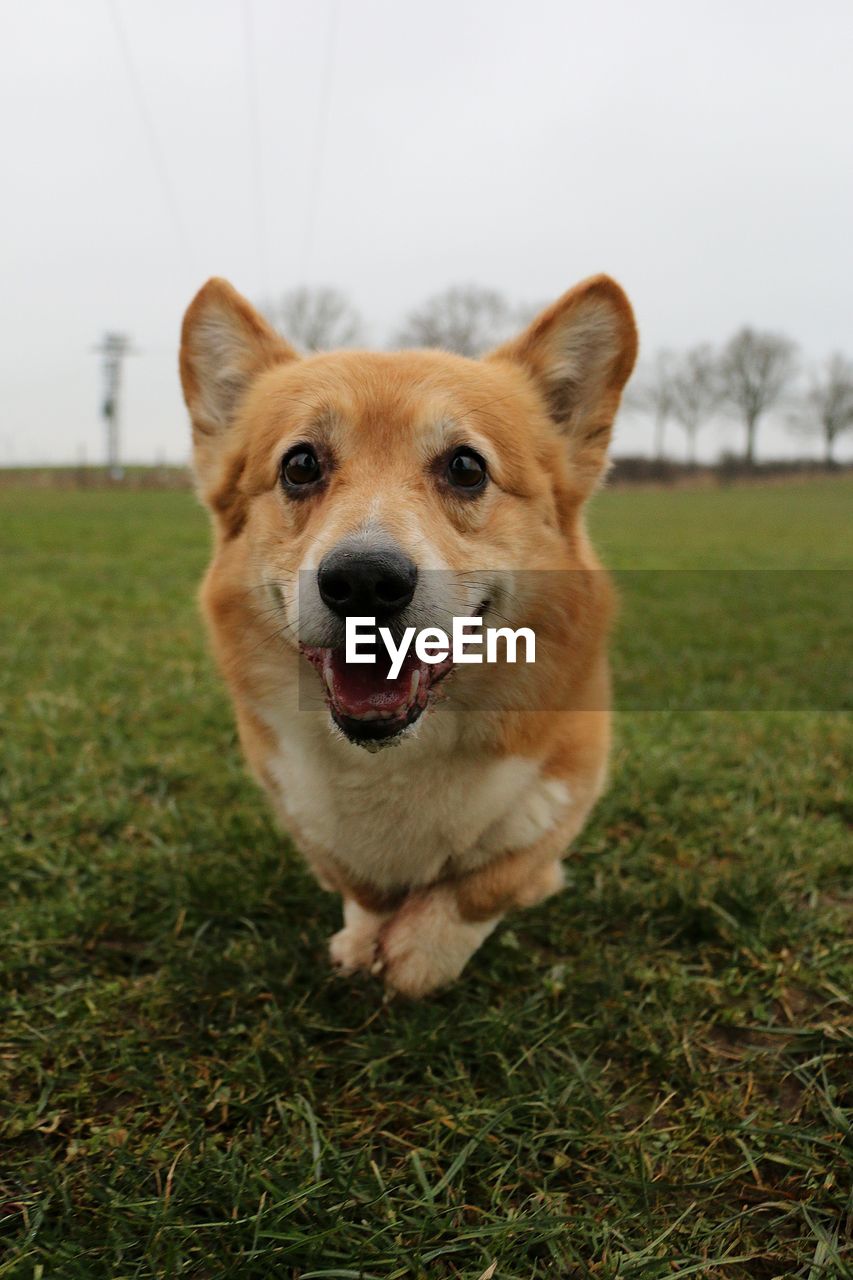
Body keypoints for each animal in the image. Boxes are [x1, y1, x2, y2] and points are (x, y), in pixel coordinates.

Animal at [178, 275, 630, 998]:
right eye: (300, 465)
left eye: (466, 468)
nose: (364, 581)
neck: (393, 759)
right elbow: (358, 884)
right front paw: (366, 937)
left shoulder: (565, 785)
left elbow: (488, 881)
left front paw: (423, 953)